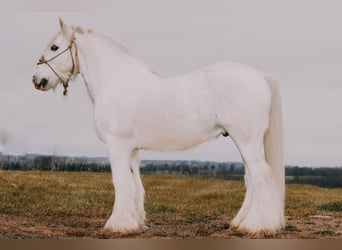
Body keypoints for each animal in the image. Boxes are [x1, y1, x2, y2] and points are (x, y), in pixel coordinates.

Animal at [32, 18, 284, 234]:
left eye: (54, 47)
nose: (37, 80)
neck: (115, 82)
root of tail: (260, 76)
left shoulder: (116, 145)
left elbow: (121, 183)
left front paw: (117, 224)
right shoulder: (132, 150)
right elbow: (135, 184)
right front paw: (134, 222)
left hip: (246, 139)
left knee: (260, 175)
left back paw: (255, 226)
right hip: (245, 141)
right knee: (251, 178)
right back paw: (240, 222)